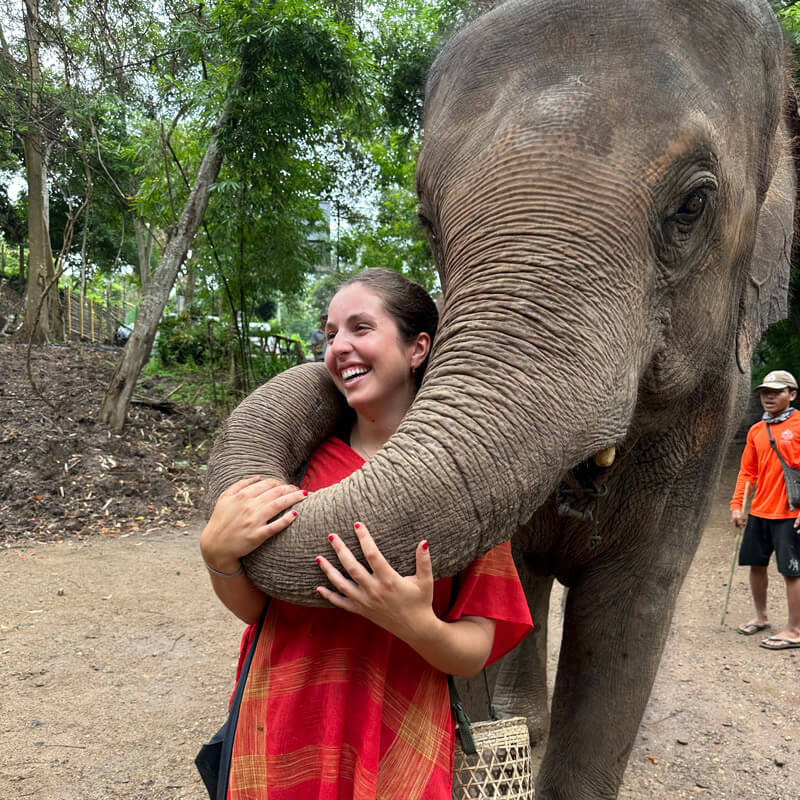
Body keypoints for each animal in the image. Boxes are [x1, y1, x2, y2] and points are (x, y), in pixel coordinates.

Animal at [208, 3, 800, 796]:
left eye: (694, 205)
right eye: (427, 218)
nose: (329, 352)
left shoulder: (712, 422)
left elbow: (632, 609)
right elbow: (503, 587)